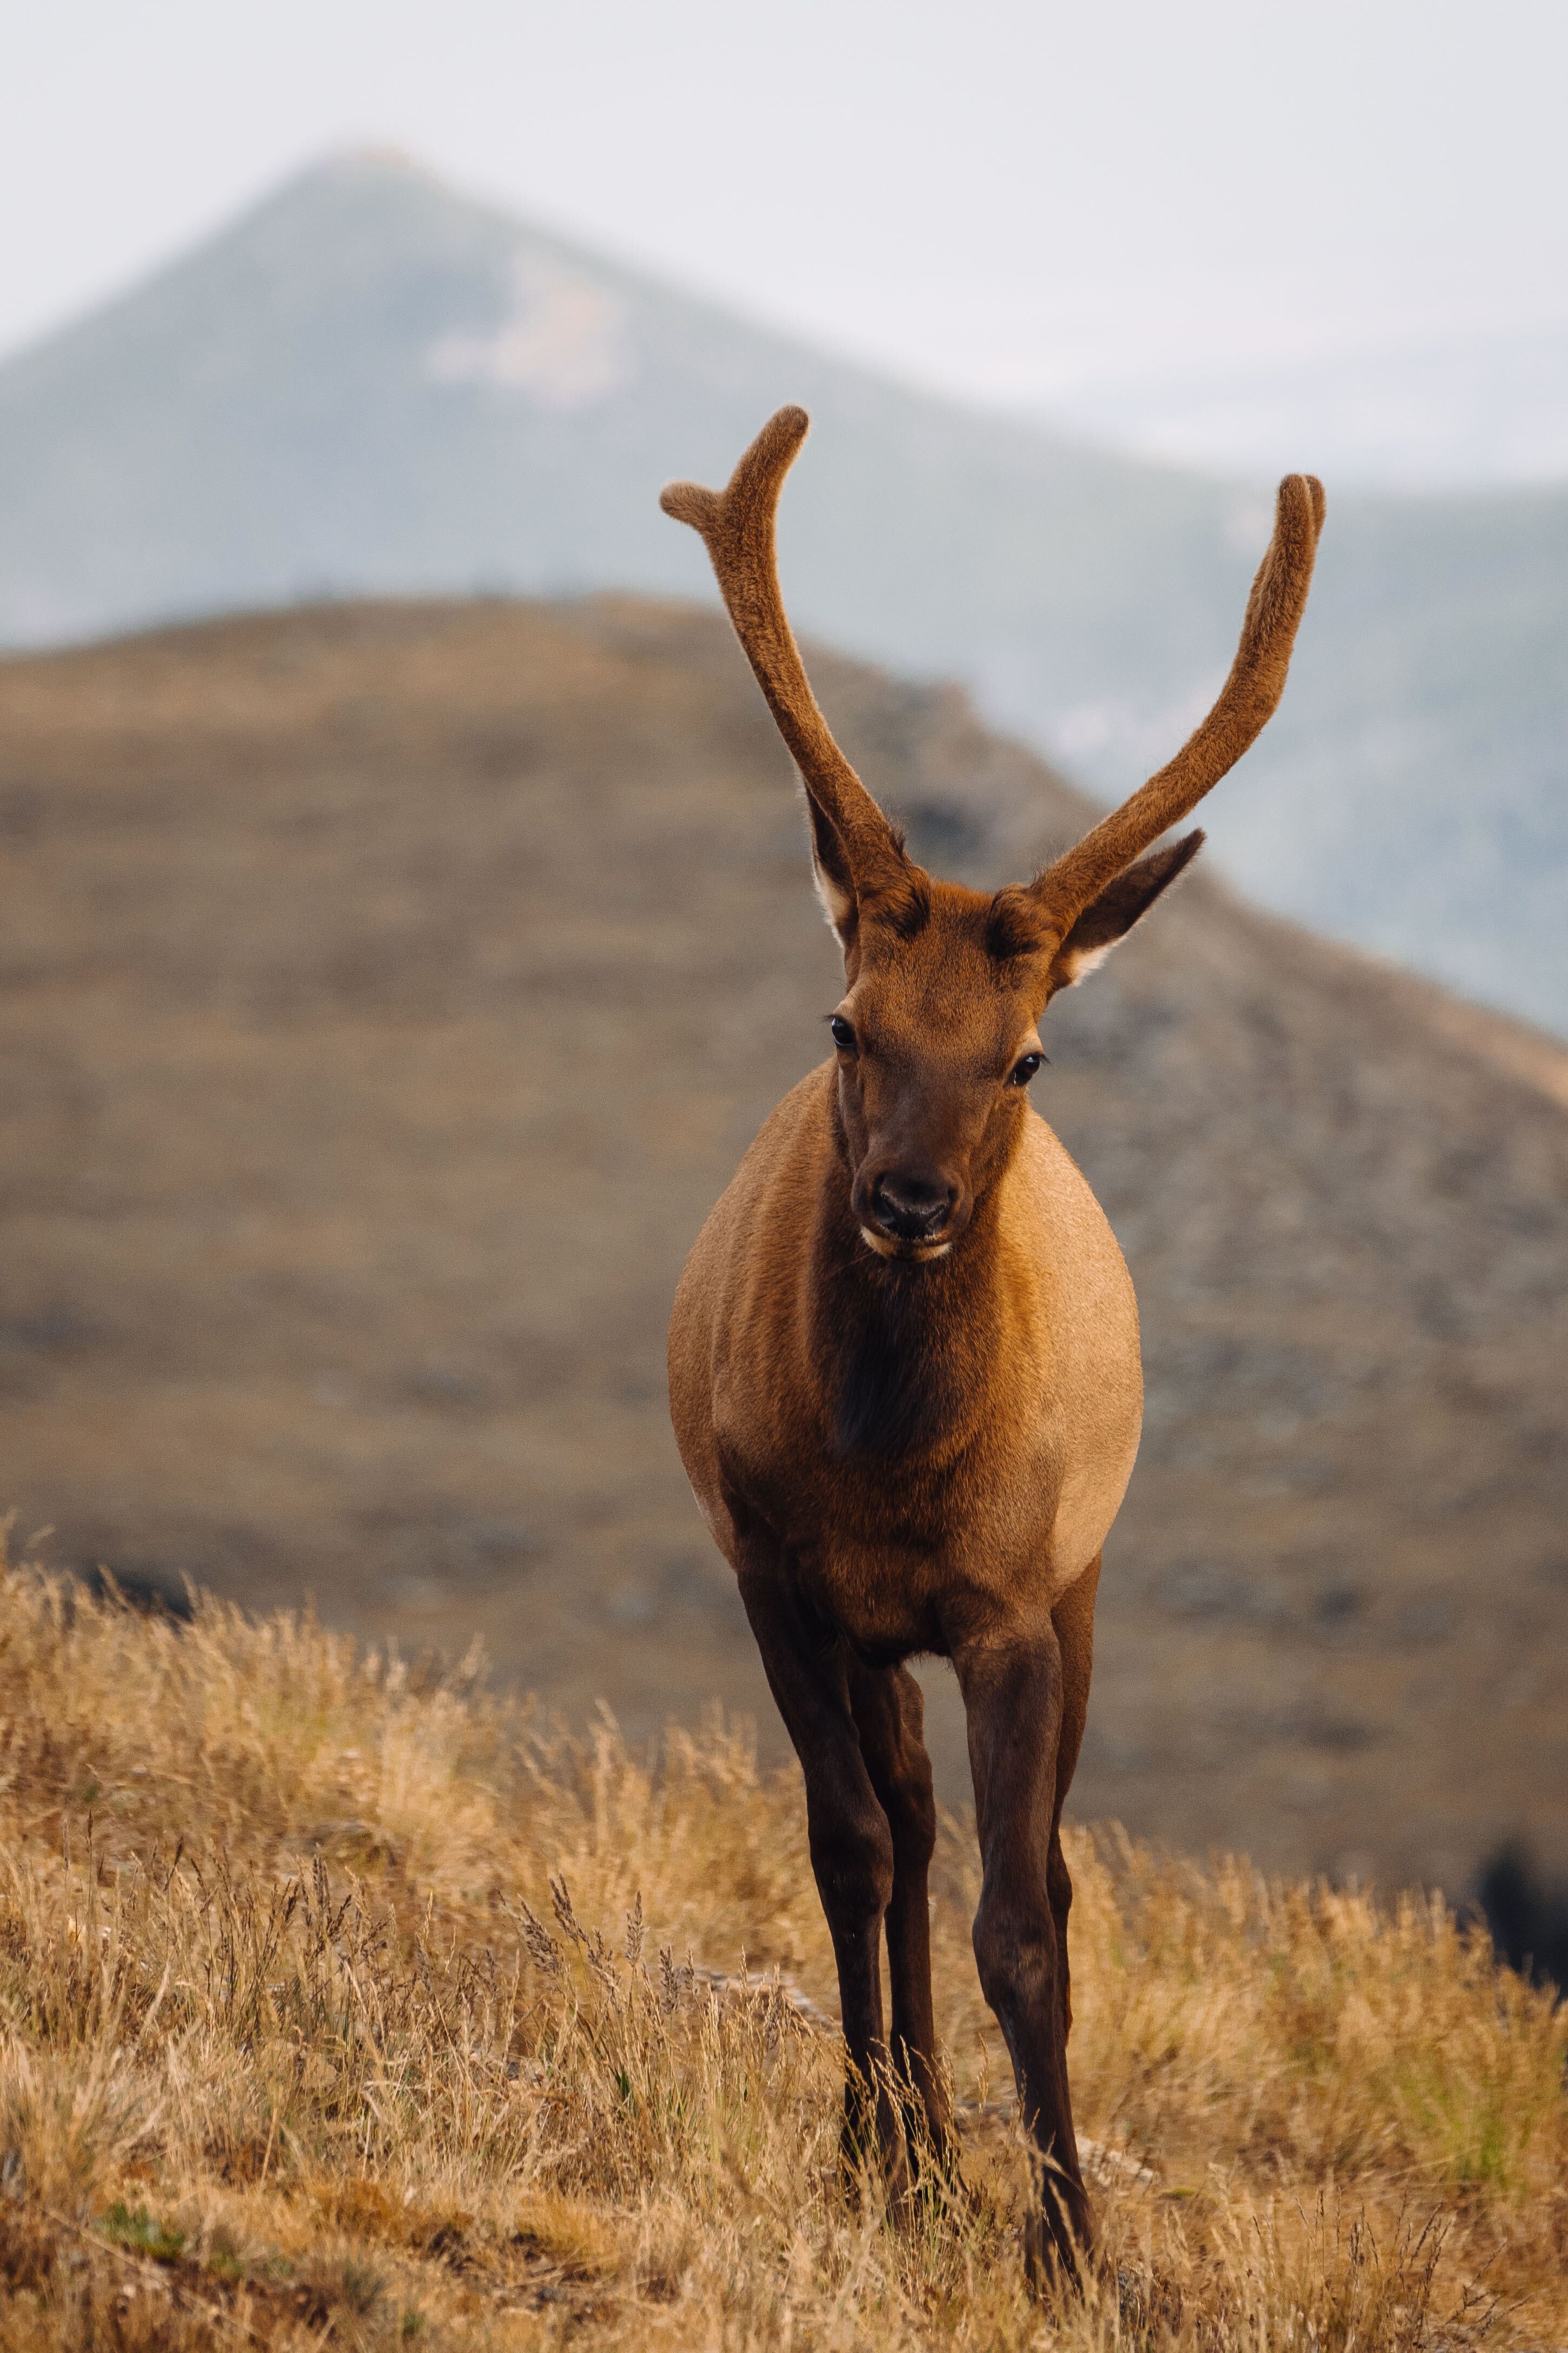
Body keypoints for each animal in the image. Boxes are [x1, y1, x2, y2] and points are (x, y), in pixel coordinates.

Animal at [658, 409, 1326, 2277]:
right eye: (847, 1023)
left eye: (1022, 1054)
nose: (905, 1199)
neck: (890, 1470)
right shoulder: (776, 1569)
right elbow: (845, 1845)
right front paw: (871, 2149)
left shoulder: (1020, 1601)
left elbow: (1024, 1917)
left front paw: (1073, 2239)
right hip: (873, 1634)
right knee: (900, 1819)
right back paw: (912, 2136)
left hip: (1074, 1587)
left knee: (1025, 1862)